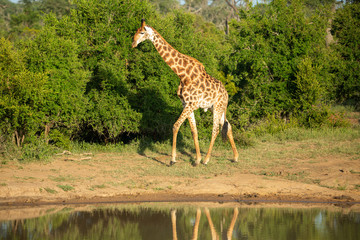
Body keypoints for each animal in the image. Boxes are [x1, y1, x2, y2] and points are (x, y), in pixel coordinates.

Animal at [131, 18, 238, 166]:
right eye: (136, 31)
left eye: (142, 32)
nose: (133, 43)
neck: (182, 74)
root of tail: (227, 94)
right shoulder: (186, 104)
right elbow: (194, 131)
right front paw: (197, 159)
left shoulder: (192, 104)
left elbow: (175, 126)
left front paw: (173, 160)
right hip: (216, 108)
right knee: (228, 126)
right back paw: (235, 157)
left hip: (217, 107)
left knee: (215, 129)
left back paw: (207, 160)